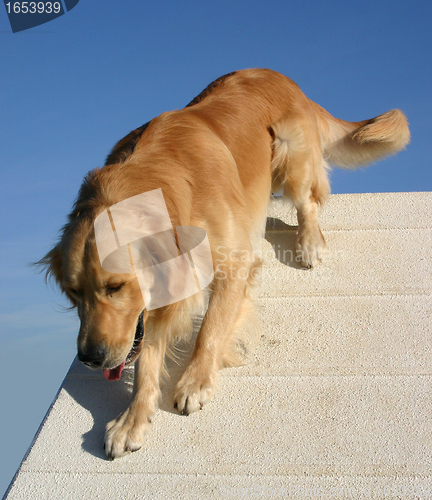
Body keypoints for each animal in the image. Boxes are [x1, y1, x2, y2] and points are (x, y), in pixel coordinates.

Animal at [38, 68, 410, 458]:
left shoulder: (233, 261)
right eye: (73, 294)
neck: (166, 188)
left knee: (307, 201)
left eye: (115, 286)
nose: (89, 358)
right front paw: (133, 418)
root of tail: (281, 75)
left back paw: (308, 242)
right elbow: (146, 359)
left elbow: (210, 327)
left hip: (291, 153)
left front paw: (195, 381)